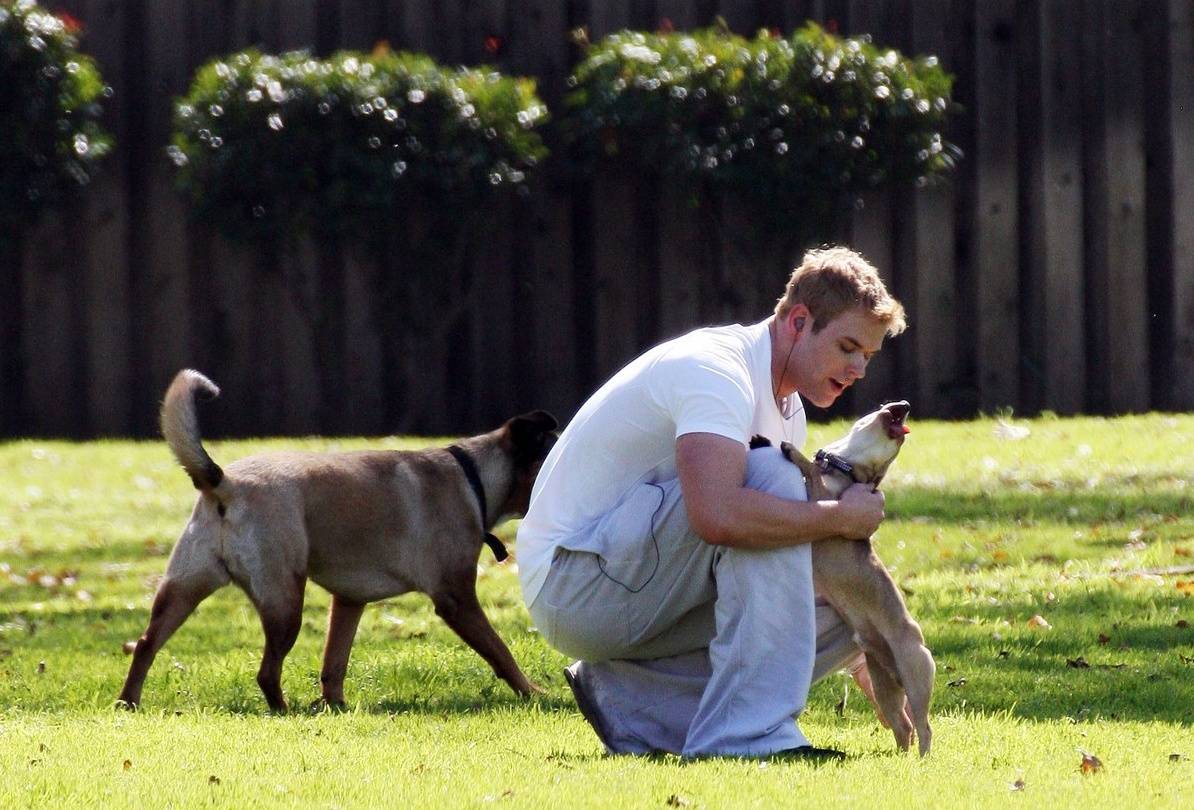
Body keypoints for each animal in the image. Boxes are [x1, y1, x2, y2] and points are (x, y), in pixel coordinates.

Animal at [118, 370, 556, 712]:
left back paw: (128, 702)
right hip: (284, 603)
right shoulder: (456, 598)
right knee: (266, 672)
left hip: (182, 590)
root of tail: (223, 484)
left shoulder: (348, 602)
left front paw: (335, 705)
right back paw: (283, 710)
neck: (474, 476)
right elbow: (500, 652)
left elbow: (334, 664)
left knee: (144, 645)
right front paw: (533, 692)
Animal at [754, 403, 931, 759]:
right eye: (889, 407)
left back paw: (923, 759)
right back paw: (902, 758)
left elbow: (809, 470)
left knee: (924, 726)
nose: (906, 405)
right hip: (883, 683)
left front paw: (791, 451)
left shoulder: (823, 499)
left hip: (916, 671)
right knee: (903, 725)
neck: (843, 463)